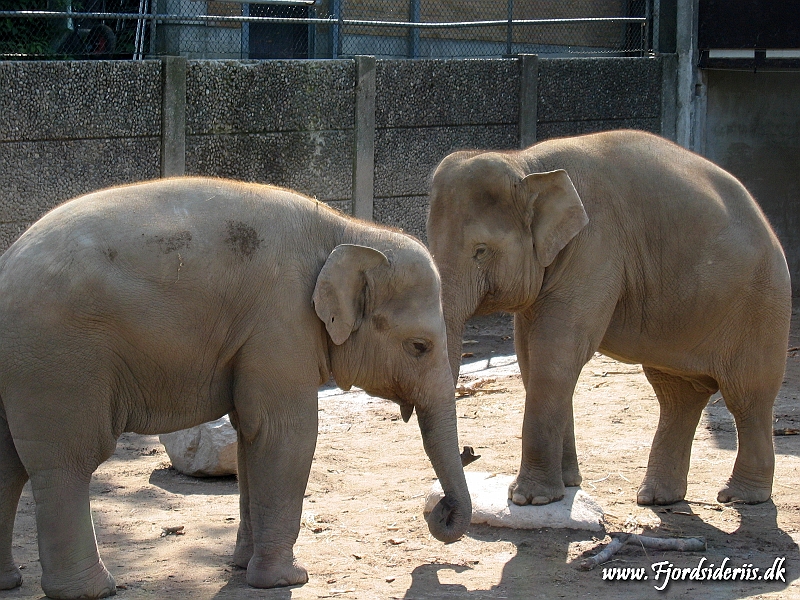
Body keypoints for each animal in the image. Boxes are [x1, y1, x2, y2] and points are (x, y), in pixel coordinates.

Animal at [0, 178, 472, 600]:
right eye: (419, 346)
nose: (439, 511)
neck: (348, 231)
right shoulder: (280, 321)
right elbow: (286, 435)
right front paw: (286, 580)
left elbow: (250, 438)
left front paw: (243, 566)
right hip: (59, 357)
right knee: (68, 460)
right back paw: (91, 591)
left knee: (9, 464)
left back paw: (11, 582)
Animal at [428, 131, 792, 510]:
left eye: (481, 251)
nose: (470, 452)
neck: (527, 164)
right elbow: (530, 356)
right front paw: (568, 485)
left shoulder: (595, 247)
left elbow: (555, 352)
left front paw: (530, 498)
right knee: (677, 394)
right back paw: (656, 497)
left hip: (761, 306)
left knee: (747, 395)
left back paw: (741, 497)